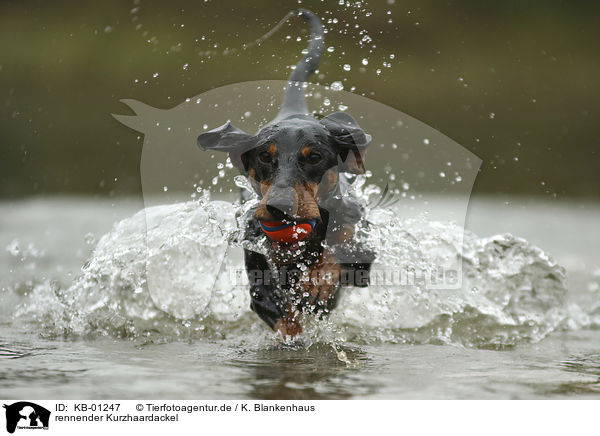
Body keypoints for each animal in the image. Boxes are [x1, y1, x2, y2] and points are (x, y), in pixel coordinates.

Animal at [199, 9, 372, 338]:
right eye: (265, 156)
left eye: (314, 157)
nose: (279, 207)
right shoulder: (258, 267)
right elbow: (280, 314)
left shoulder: (360, 251)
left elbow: (337, 257)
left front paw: (317, 282)